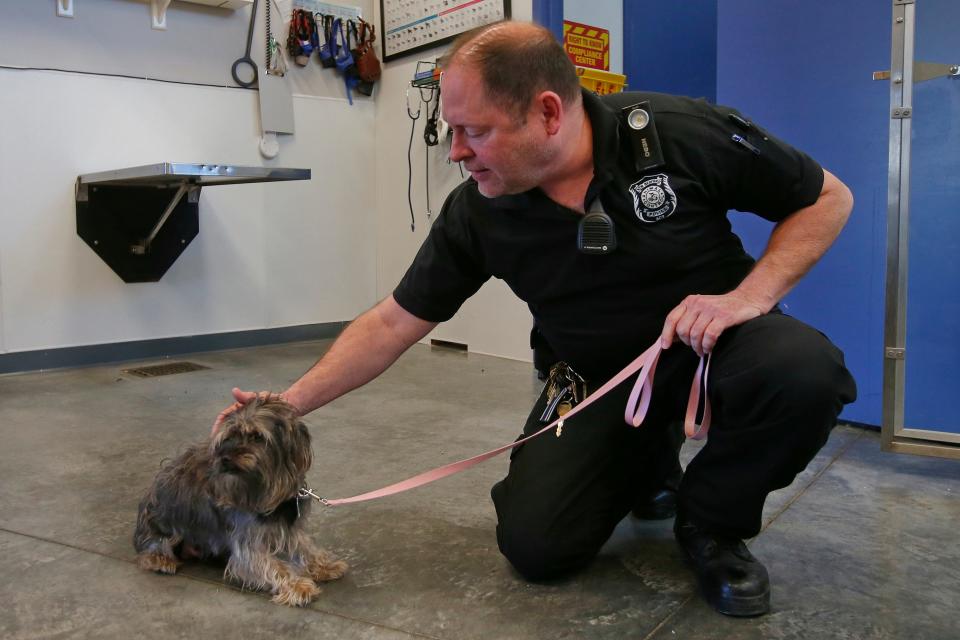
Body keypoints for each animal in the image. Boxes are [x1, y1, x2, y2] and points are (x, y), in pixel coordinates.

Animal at [133, 396, 346, 604]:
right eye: (229, 437)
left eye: (257, 436)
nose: (225, 458)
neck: (264, 491)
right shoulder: (247, 545)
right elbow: (272, 565)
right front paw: (298, 586)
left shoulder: (290, 529)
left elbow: (305, 546)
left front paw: (324, 565)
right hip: (166, 524)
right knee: (153, 545)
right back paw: (160, 559)